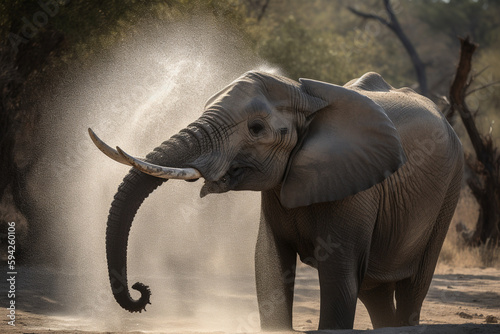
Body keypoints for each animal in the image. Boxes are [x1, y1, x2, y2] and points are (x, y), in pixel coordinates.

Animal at [88, 71, 462, 332]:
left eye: (256, 129)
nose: (140, 289)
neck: (306, 97)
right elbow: (268, 261)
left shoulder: (358, 187)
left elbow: (338, 272)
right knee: (374, 289)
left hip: (450, 192)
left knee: (412, 285)